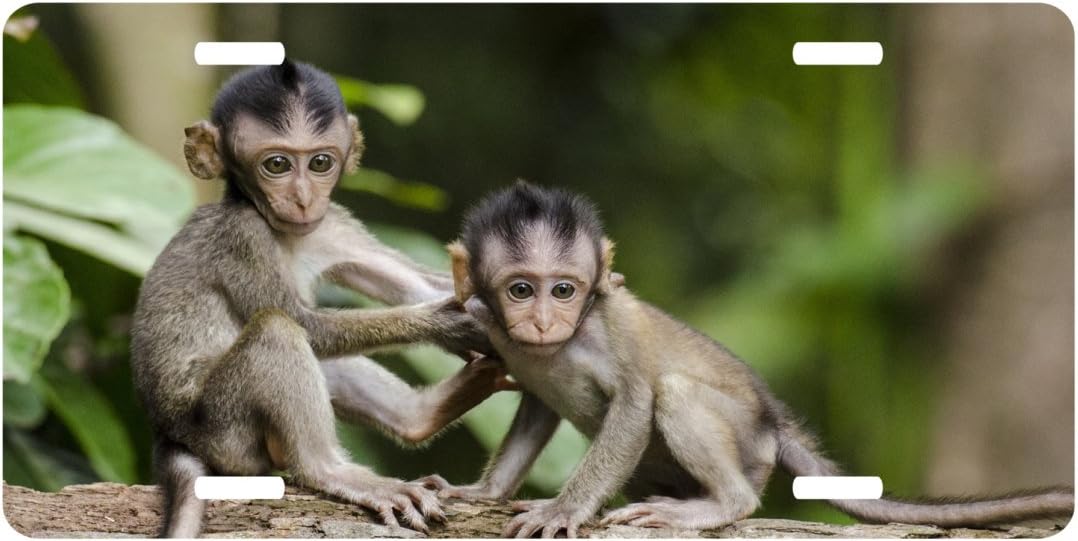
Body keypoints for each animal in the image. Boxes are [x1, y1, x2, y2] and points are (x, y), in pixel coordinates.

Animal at [131, 60, 511, 538]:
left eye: (320, 162)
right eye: (276, 164)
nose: (303, 198)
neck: (283, 232)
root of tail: (169, 434)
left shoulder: (332, 224)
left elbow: (417, 286)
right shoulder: (242, 237)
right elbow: (305, 323)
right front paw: (445, 324)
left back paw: (420, 416)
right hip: (224, 430)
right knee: (278, 330)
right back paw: (330, 470)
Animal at [419, 181, 1073, 538]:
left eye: (563, 290)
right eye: (520, 290)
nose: (543, 321)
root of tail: (772, 422)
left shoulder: (611, 327)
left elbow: (634, 403)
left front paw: (564, 508)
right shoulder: (493, 328)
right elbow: (536, 406)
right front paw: (483, 493)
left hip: (747, 443)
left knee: (676, 395)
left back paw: (719, 504)